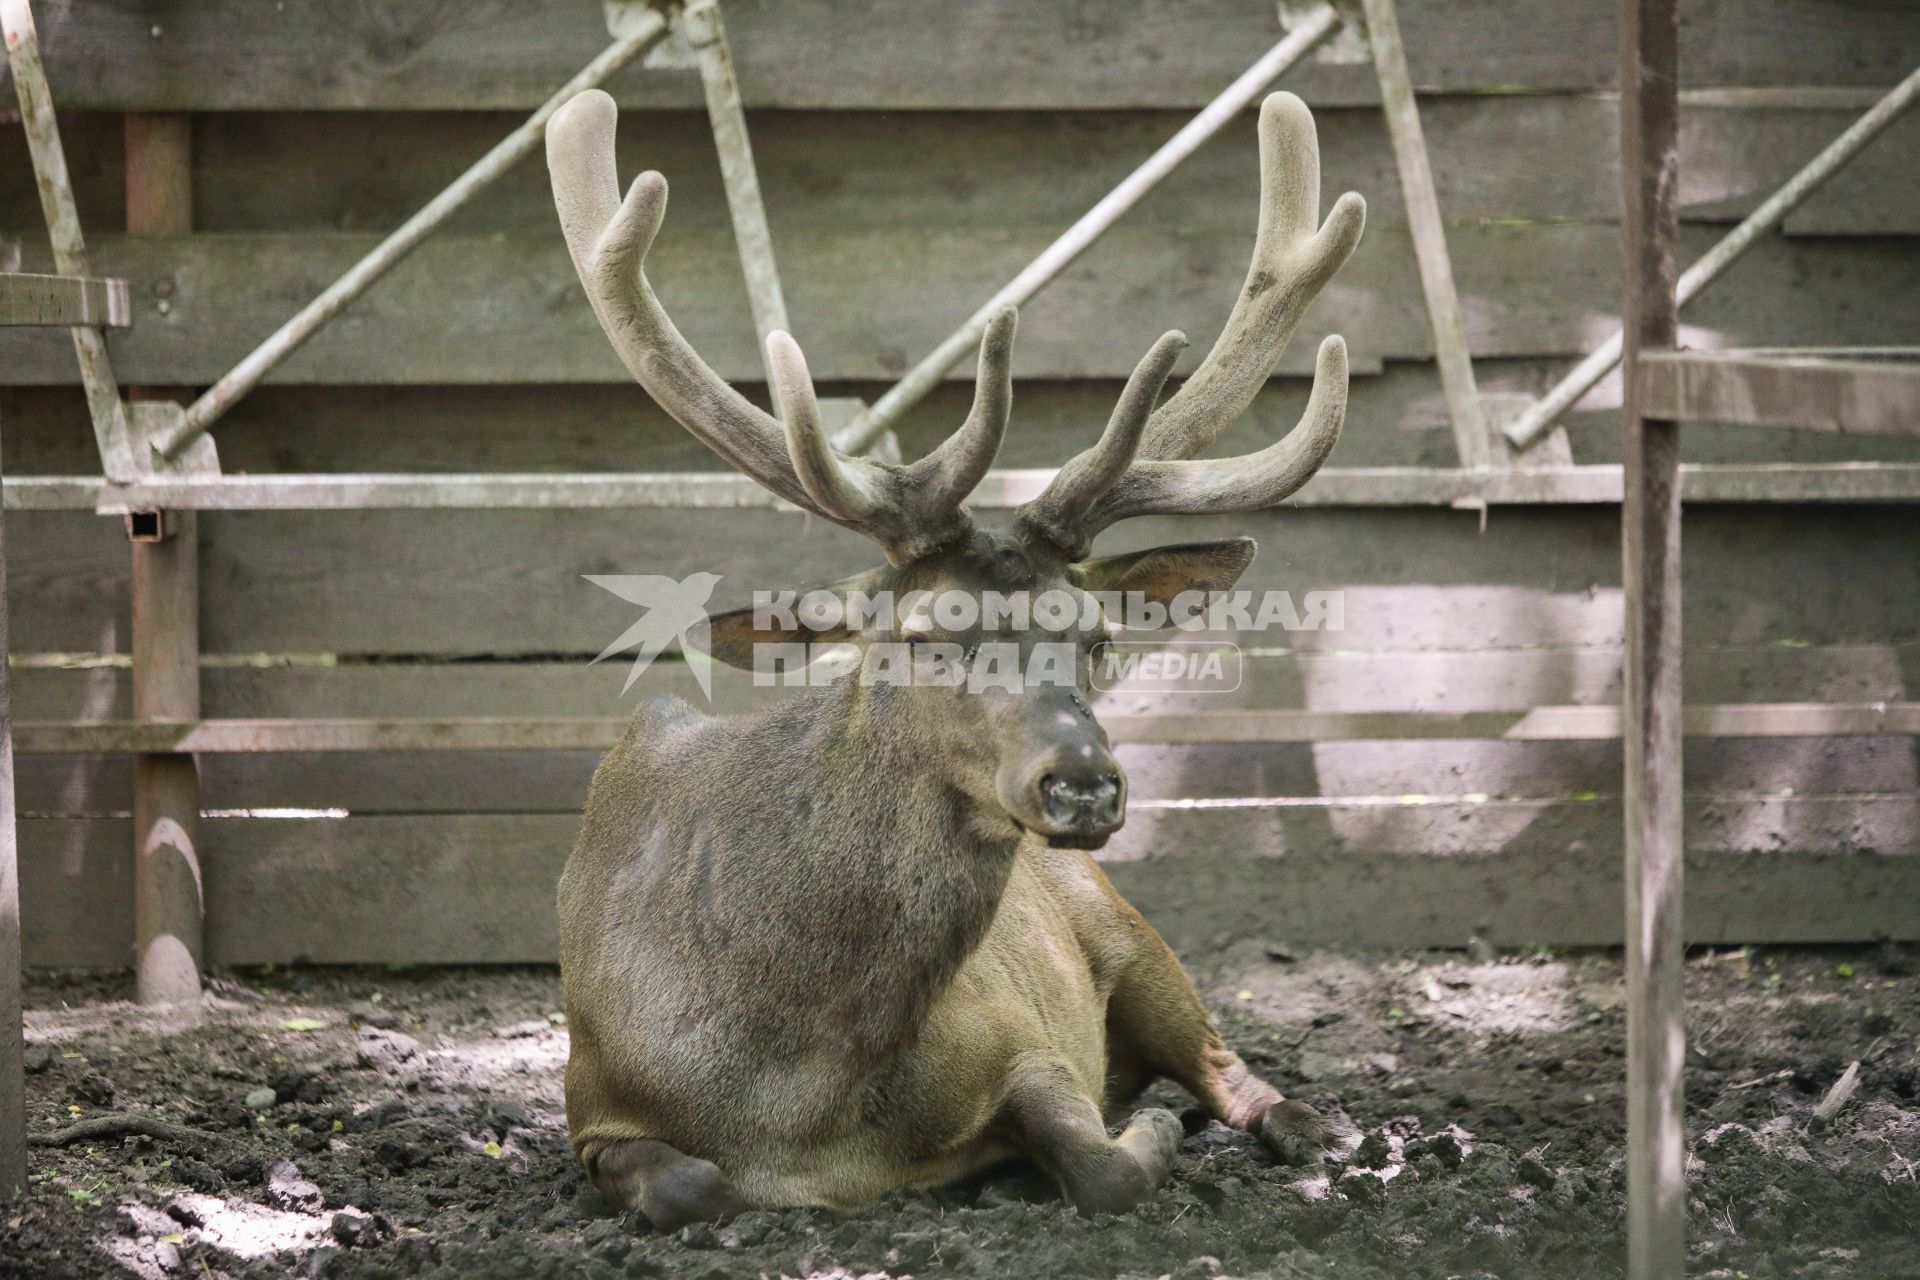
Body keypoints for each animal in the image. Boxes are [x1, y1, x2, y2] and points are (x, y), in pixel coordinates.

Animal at [541, 84, 1367, 1228]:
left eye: (1096, 634)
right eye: (924, 636)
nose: (1083, 782)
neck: (802, 1093)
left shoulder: (1024, 1037)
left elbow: (1102, 1161)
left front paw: (1138, 1134)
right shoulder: (593, 1102)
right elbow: (687, 1181)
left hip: (1129, 930)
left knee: (1225, 1062)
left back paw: (1306, 1128)